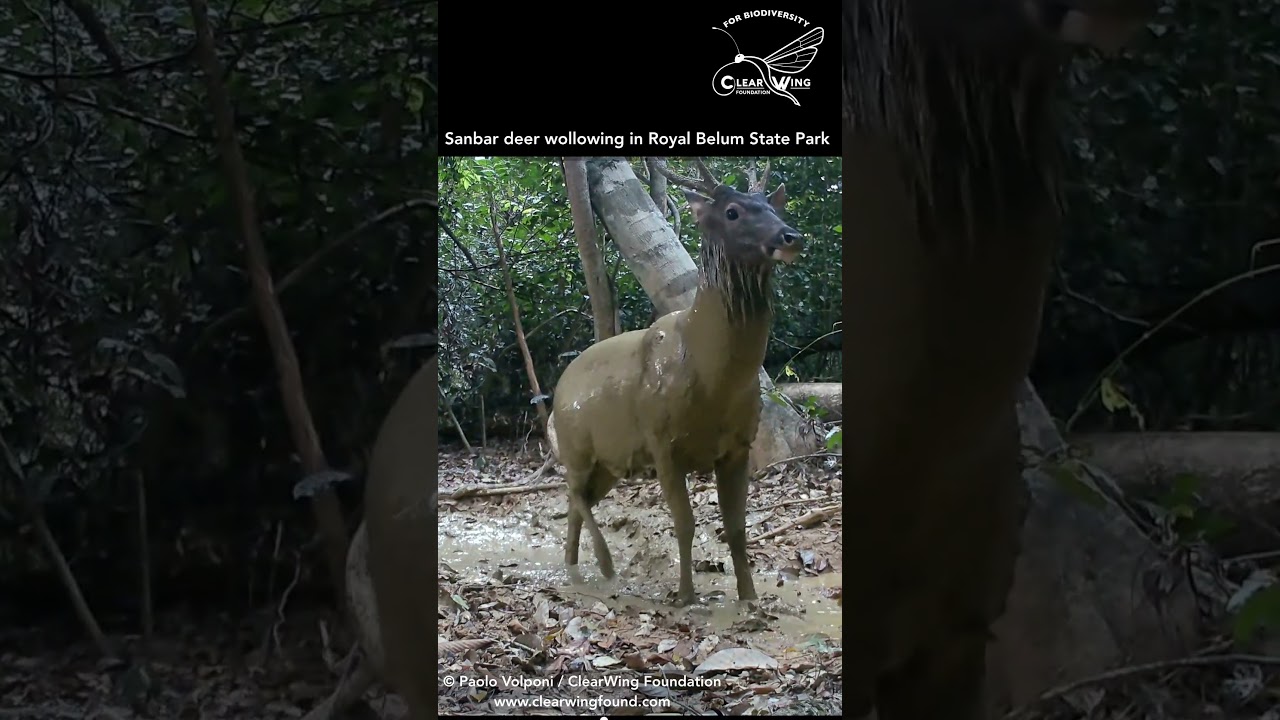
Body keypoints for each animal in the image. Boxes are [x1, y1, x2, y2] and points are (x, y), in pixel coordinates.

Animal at [551, 160, 803, 606]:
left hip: (610, 461)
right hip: (576, 443)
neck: (711, 383)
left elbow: (737, 528)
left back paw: (576, 567)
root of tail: (554, 393)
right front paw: (685, 596)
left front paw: (749, 597)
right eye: (732, 211)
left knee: (577, 500)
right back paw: (605, 565)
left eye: (773, 207)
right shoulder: (661, 440)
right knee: (573, 492)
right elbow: (684, 523)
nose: (790, 236)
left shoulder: (739, 445)